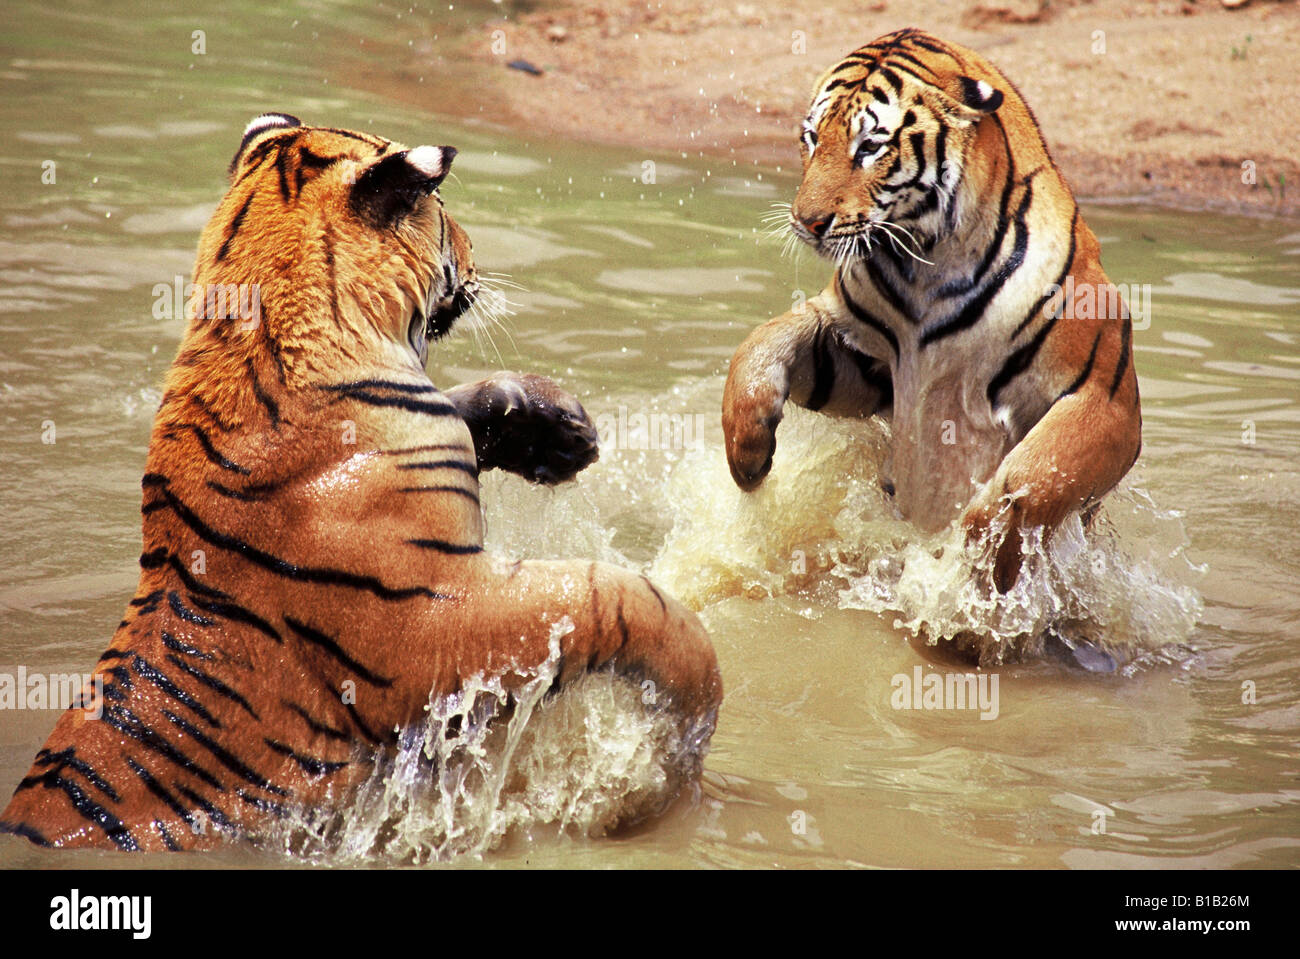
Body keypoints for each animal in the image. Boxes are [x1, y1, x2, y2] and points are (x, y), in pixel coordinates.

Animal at [0, 113, 722, 852]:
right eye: (443, 208)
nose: (475, 248)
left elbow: (474, 408)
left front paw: (560, 428)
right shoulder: (436, 620)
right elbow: (618, 597)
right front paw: (692, 714)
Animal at [728, 31, 1144, 605]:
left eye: (870, 147)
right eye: (811, 138)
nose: (807, 223)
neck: (925, 263)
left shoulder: (1104, 397)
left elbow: (1029, 480)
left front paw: (980, 572)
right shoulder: (862, 358)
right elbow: (757, 344)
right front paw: (747, 454)